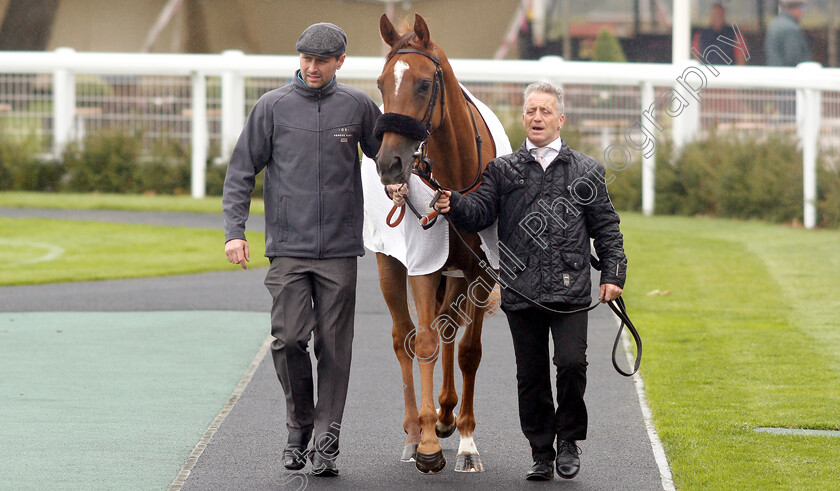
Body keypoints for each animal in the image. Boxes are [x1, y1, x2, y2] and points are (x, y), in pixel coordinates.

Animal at [374, 15, 498, 474]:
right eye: (381, 84)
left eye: (425, 84)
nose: (389, 163)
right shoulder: (423, 266)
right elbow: (423, 342)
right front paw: (428, 444)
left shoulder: (481, 271)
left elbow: (468, 350)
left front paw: (465, 440)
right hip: (389, 266)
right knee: (404, 337)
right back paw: (416, 431)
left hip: (458, 273)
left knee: (448, 326)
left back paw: (446, 415)